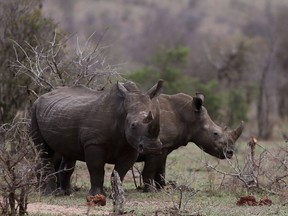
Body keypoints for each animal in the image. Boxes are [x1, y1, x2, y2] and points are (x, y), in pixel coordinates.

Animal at [31, 80, 164, 196]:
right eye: (133, 125)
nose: (152, 147)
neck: (121, 112)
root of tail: (40, 97)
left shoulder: (131, 147)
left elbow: (120, 171)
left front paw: (116, 194)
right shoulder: (94, 143)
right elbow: (97, 169)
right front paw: (97, 195)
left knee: (69, 155)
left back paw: (67, 193)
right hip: (34, 110)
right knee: (44, 152)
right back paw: (50, 194)